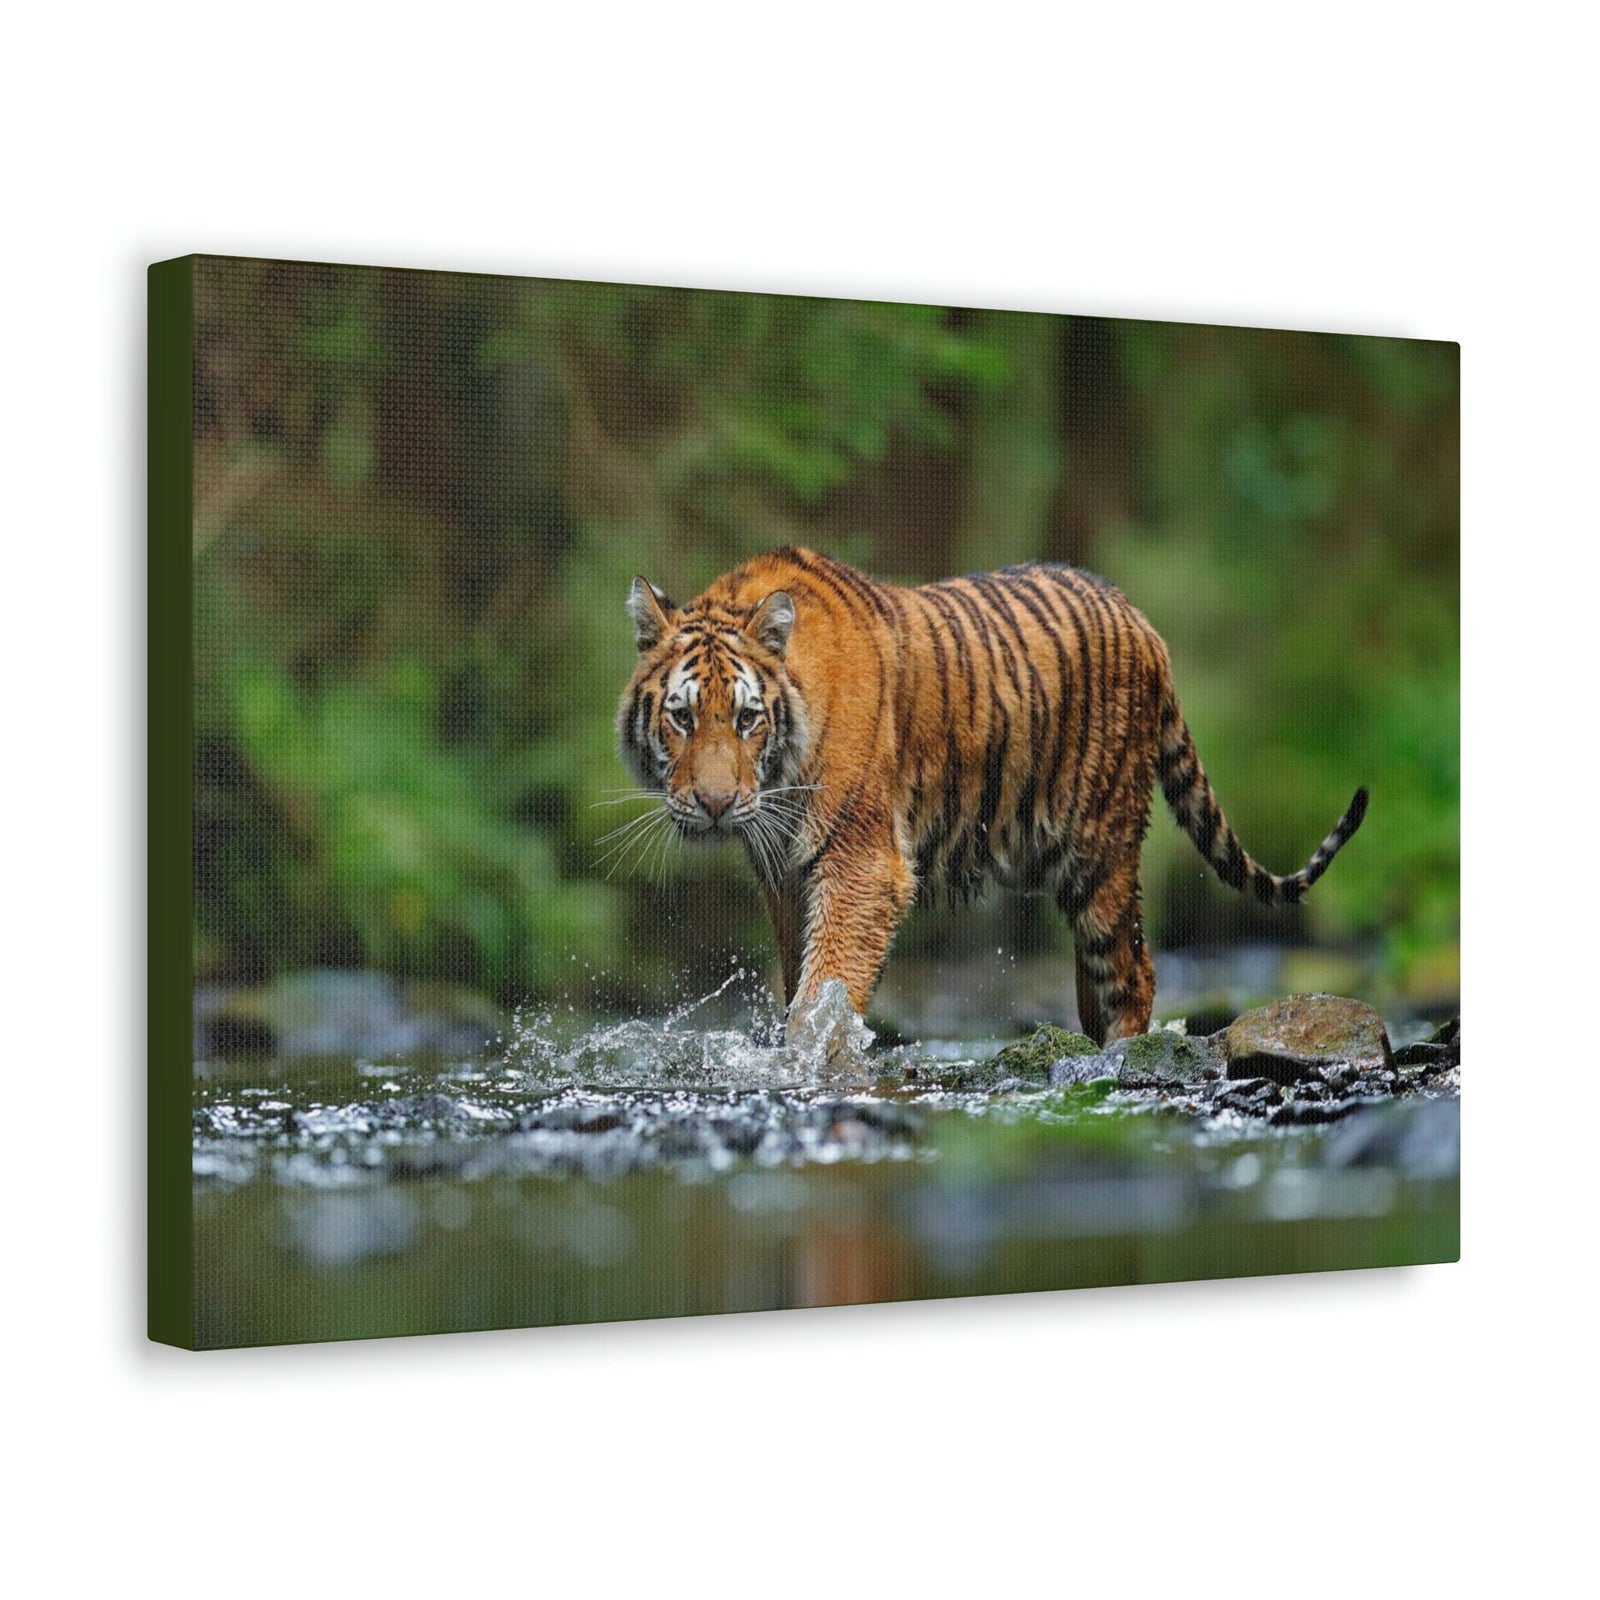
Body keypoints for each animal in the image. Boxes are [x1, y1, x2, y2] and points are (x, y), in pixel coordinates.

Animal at [616, 545, 1367, 1053]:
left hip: (1101, 849)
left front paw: (808, 1058)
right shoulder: (784, 875)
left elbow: (824, 988)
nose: (715, 804)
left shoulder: (863, 862)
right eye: (683, 717)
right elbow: (799, 974)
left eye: (747, 719)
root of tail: (1142, 620)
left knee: (1135, 971)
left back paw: (1121, 1058)